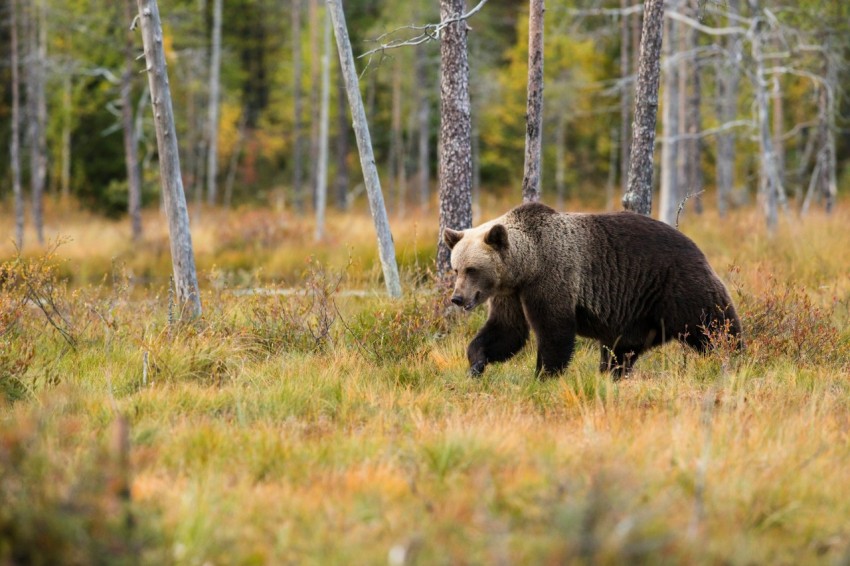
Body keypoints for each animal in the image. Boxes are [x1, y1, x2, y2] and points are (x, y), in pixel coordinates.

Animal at [443, 202, 743, 378]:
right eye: (456, 269)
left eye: (472, 269)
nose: (457, 298)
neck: (526, 266)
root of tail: (696, 246)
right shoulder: (511, 294)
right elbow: (506, 331)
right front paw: (476, 363)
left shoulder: (552, 278)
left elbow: (554, 332)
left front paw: (543, 375)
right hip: (636, 313)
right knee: (621, 350)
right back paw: (612, 374)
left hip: (677, 285)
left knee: (714, 324)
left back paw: (735, 358)